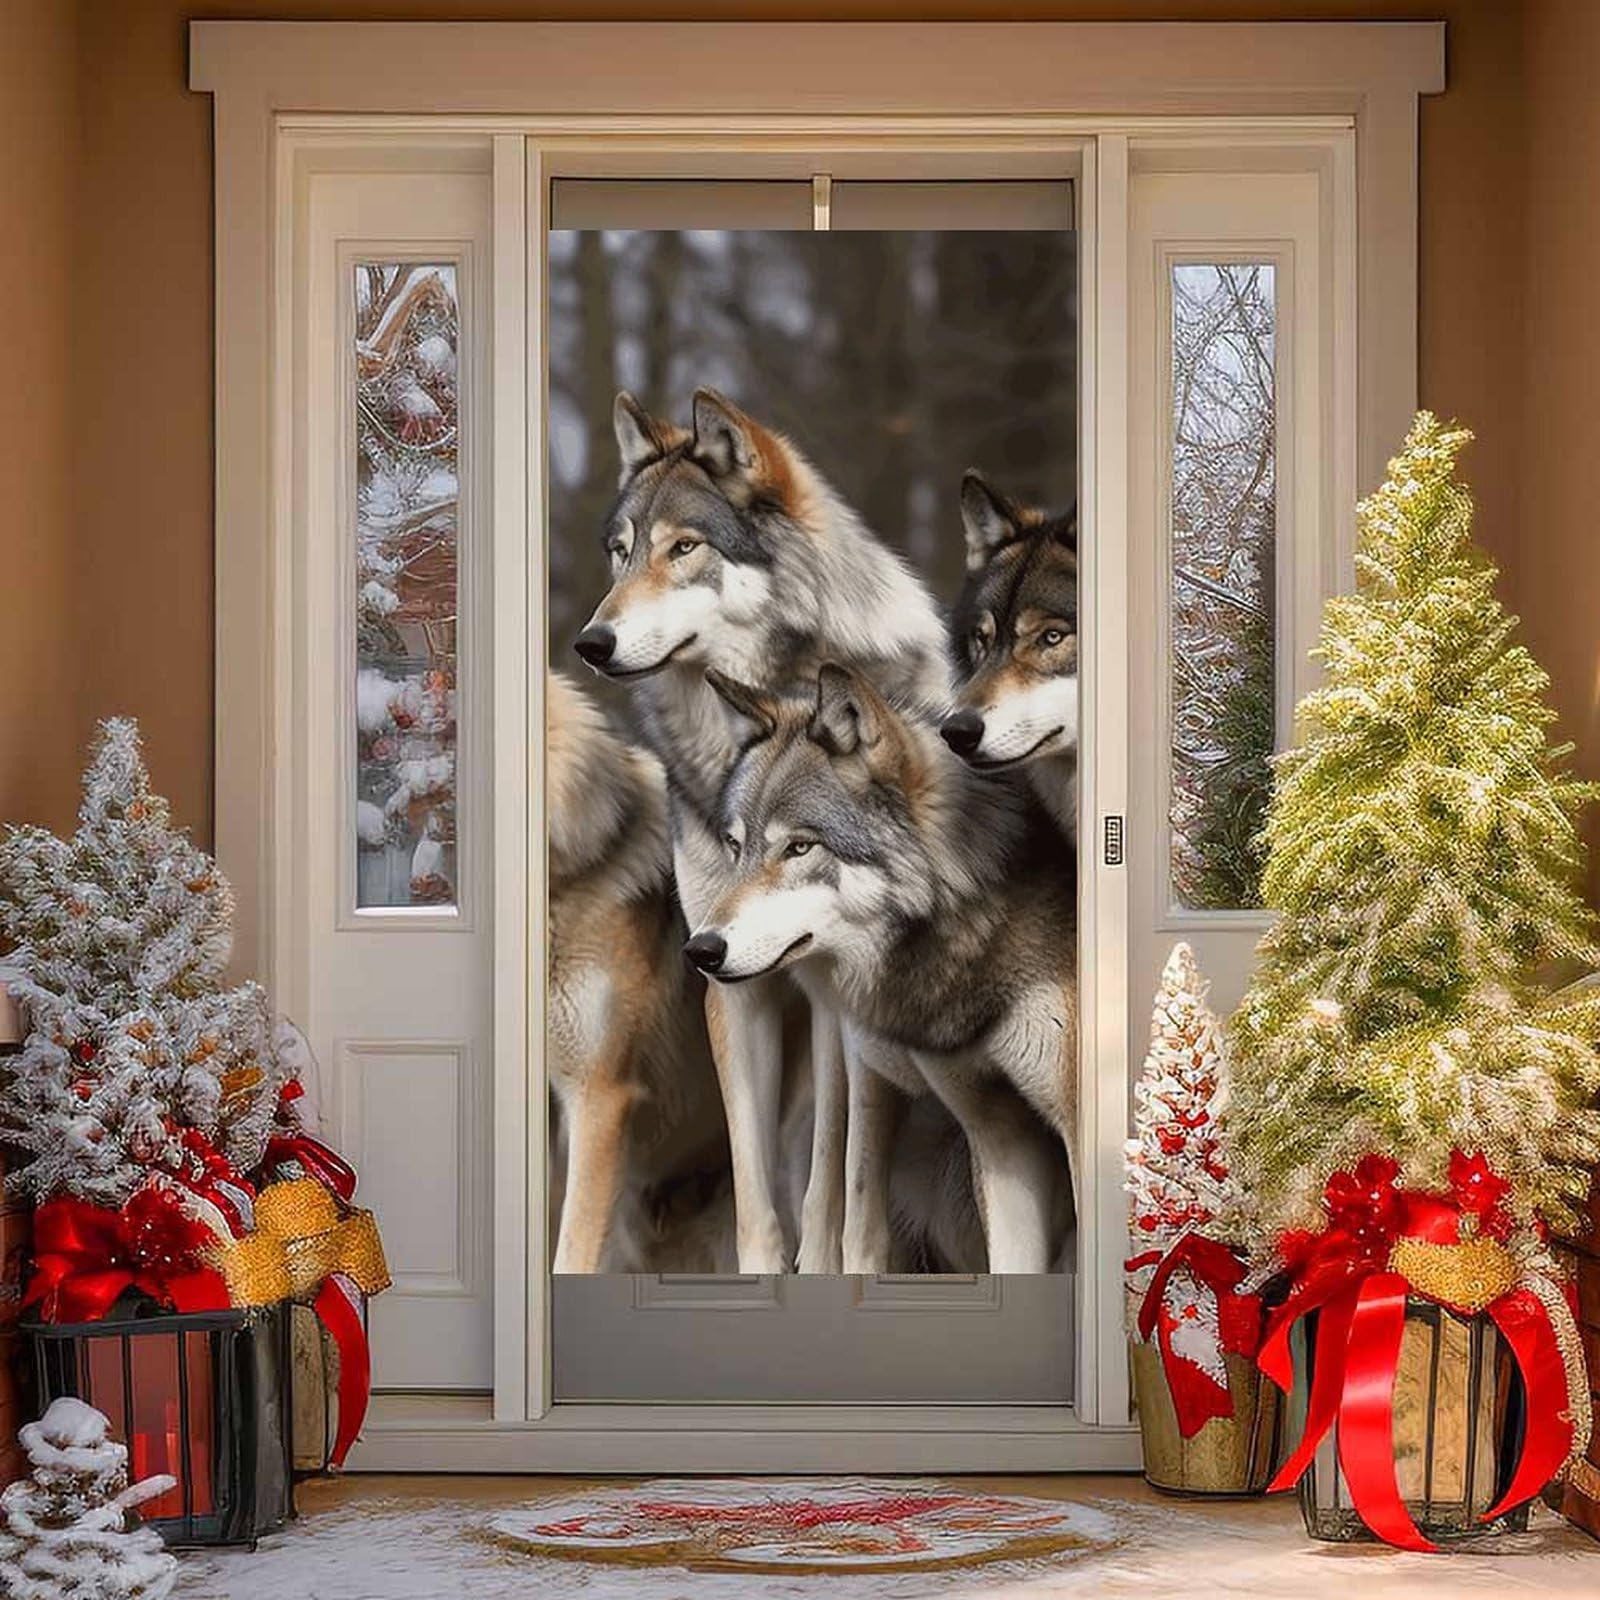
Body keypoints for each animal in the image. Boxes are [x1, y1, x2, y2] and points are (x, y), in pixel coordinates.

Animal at [573, 389, 951, 1272]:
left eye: (684, 548)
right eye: (620, 554)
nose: (591, 643)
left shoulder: (836, 993)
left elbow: (833, 1169)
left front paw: (828, 1267)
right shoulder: (728, 976)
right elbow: (754, 1179)